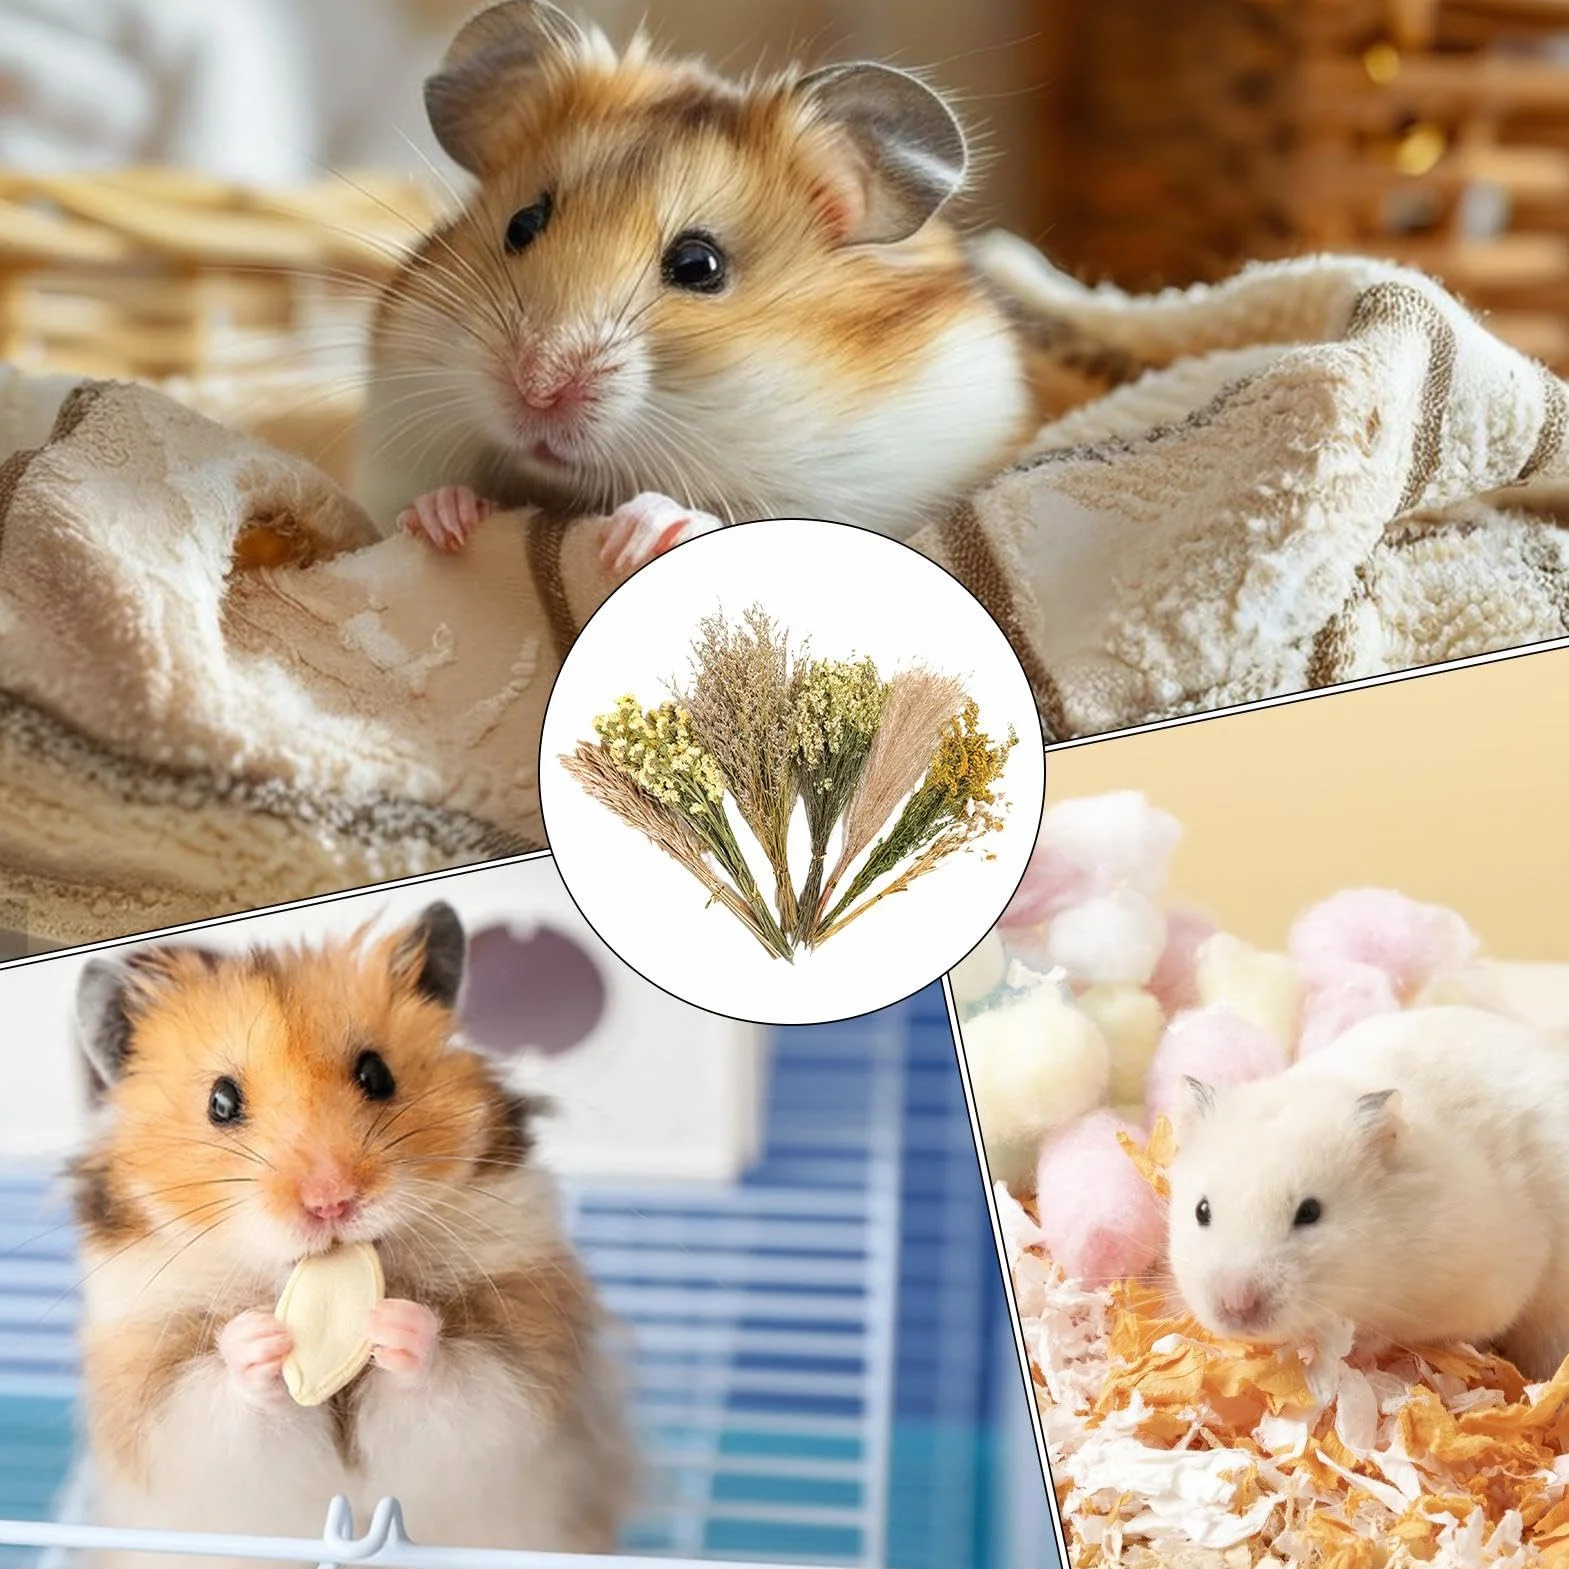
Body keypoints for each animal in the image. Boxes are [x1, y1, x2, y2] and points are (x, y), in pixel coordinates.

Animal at [67, 902, 634, 1569]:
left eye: (376, 1073)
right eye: (221, 1102)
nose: (331, 1201)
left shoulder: (522, 1376)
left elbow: (458, 1384)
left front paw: (397, 1323)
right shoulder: (160, 1405)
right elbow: (217, 1404)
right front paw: (257, 1340)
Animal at [1166, 1005, 1569, 1382]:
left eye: (1310, 1212)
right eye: (1202, 1211)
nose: (1236, 1308)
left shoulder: (1476, 1292)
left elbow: (1390, 1334)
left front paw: (1352, 1356)